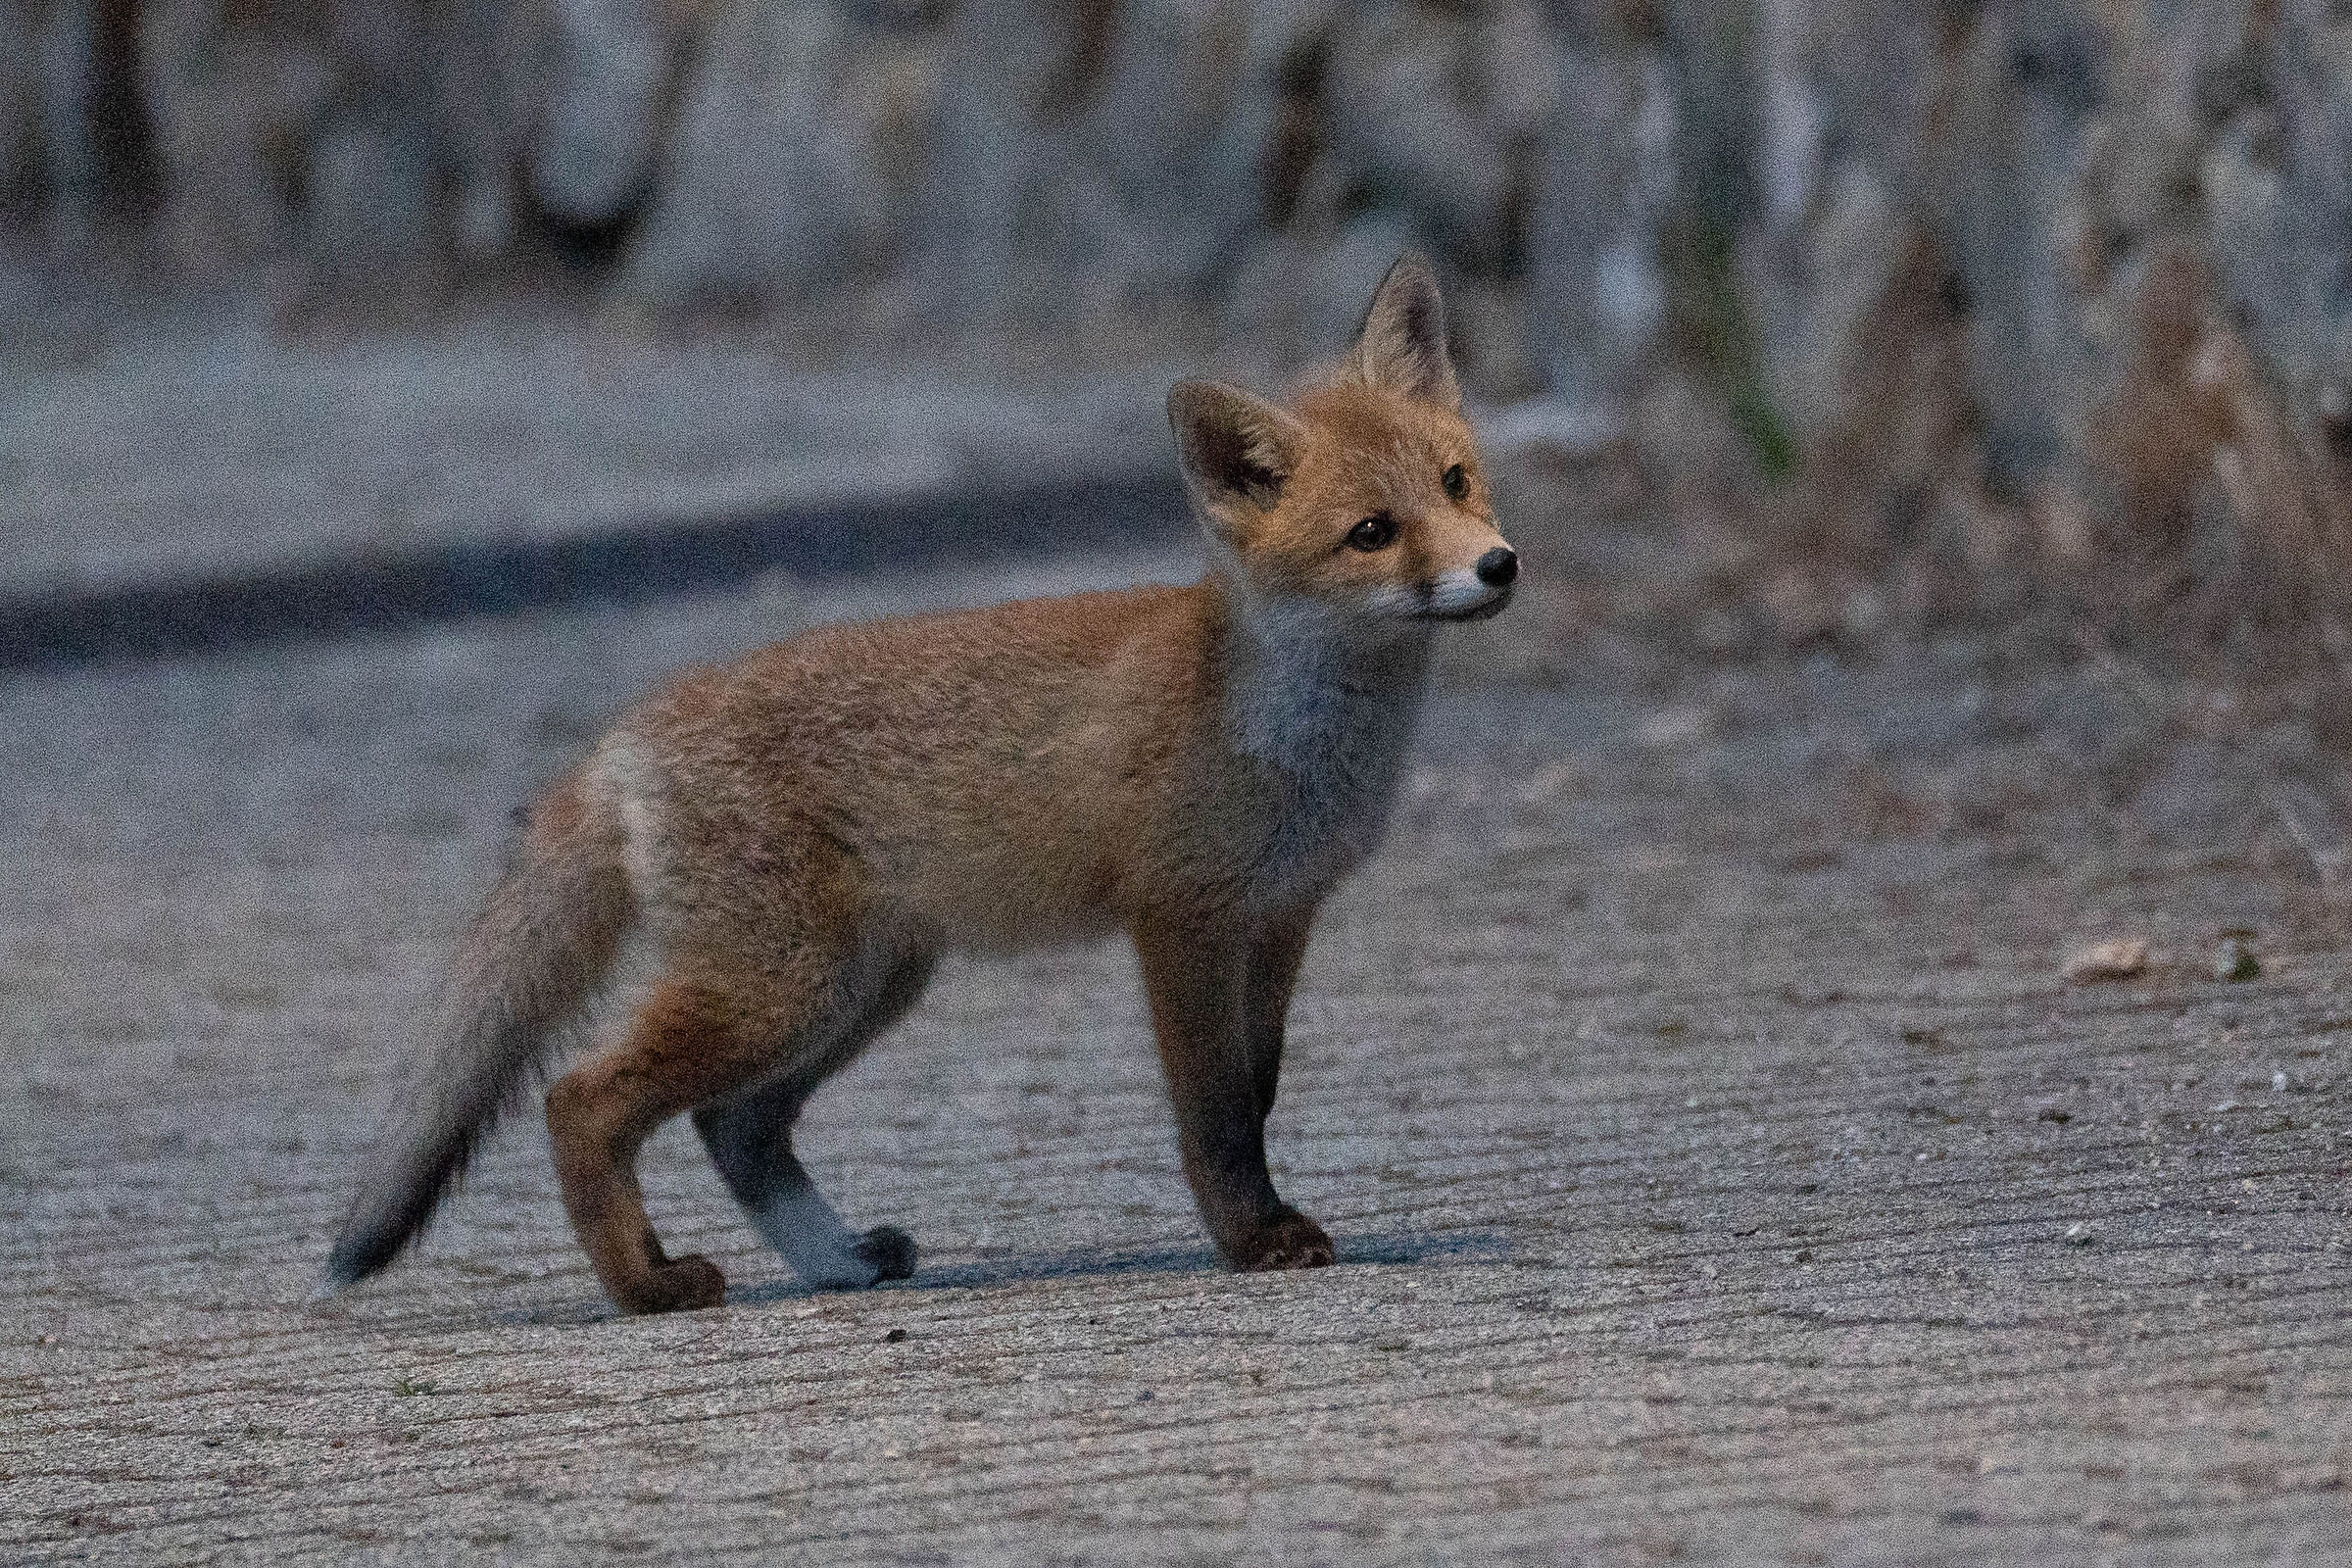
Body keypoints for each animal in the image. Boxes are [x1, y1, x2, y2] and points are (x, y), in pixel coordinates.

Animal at [321, 254, 1518, 1314]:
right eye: (1372, 534)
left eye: (1456, 482)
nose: (1499, 565)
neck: (1287, 733)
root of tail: (626, 732)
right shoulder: (1178, 919)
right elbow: (1217, 1114)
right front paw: (1252, 1238)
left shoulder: (1280, 917)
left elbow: (1259, 1093)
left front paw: (1262, 1217)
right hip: (780, 989)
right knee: (583, 1100)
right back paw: (648, 1287)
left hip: (861, 988)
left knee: (736, 1129)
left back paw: (839, 1261)